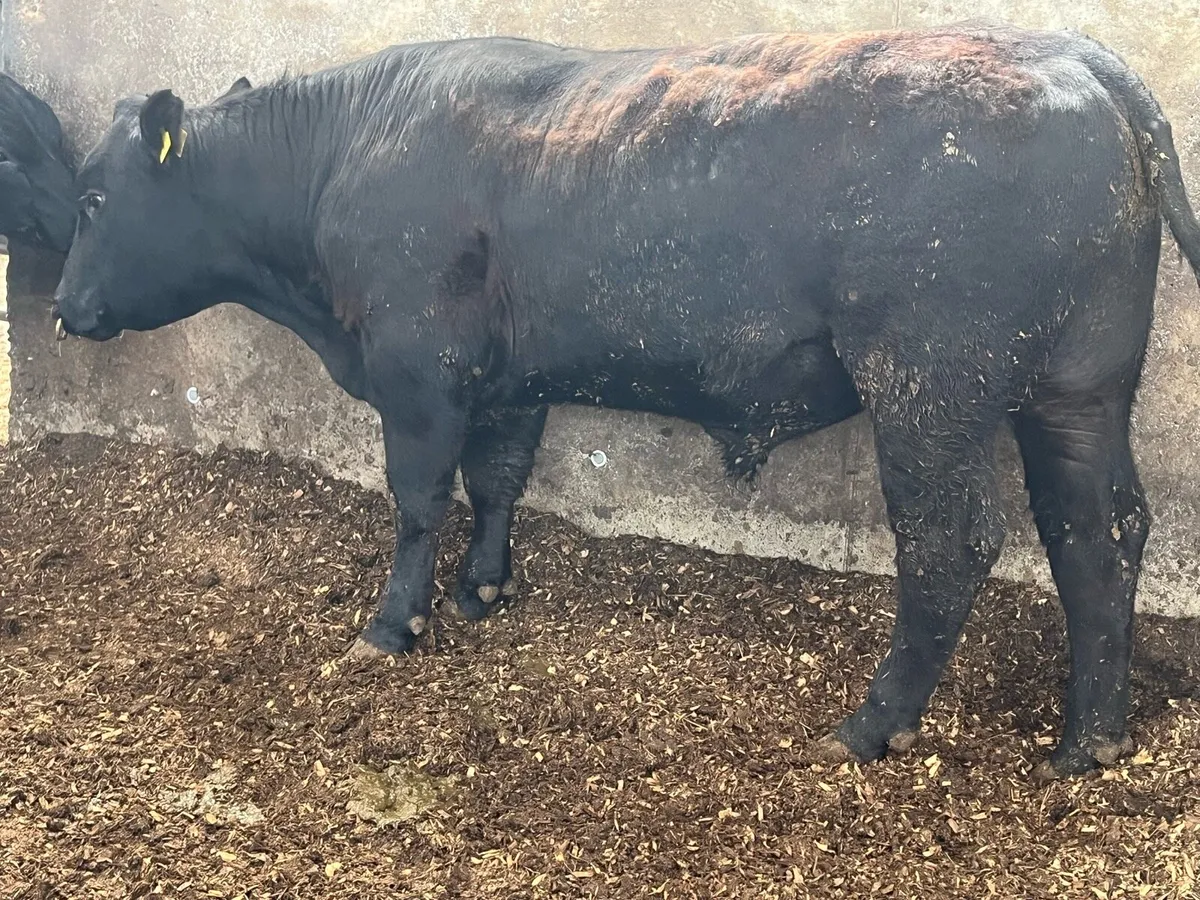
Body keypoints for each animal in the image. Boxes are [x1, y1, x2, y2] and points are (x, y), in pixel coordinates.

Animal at [51, 25, 1200, 778]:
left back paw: (872, 726)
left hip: (930, 388)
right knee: (1101, 535)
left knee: (951, 544)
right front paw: (483, 589)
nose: (62, 309)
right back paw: (1088, 742)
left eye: (98, 198)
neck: (345, 153)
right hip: (1079, 388)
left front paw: (392, 623)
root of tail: (1075, 56)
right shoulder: (506, 376)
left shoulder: (419, 371)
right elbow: (499, 480)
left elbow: (420, 499)